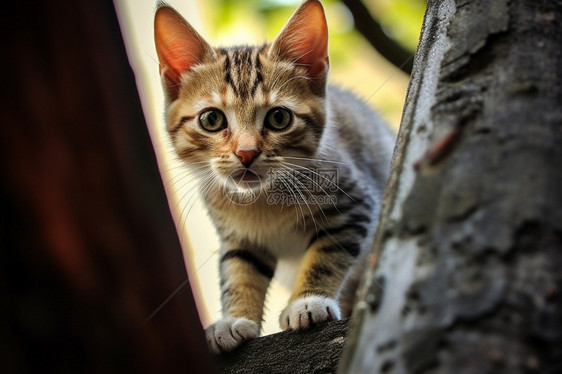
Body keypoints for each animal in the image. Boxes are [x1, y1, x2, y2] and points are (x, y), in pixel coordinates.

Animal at [153, 0, 394, 352]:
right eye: (211, 119)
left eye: (279, 118)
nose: (246, 153)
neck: (262, 199)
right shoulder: (238, 237)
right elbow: (239, 270)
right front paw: (235, 319)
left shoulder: (354, 203)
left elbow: (328, 253)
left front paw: (309, 300)